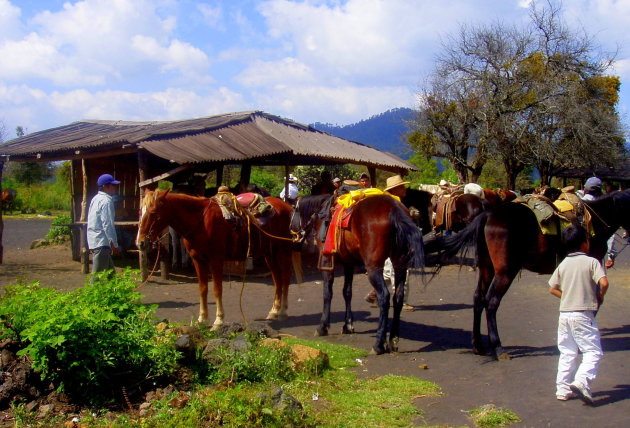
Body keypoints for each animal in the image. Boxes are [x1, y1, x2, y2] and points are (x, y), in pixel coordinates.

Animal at [137, 189, 296, 326]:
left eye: (153, 213)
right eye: (140, 212)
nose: (140, 243)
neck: (201, 221)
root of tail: (287, 207)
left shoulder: (216, 260)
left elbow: (217, 289)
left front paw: (218, 321)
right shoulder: (198, 260)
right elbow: (202, 289)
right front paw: (202, 319)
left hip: (284, 251)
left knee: (285, 277)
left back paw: (283, 312)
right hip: (270, 254)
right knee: (277, 279)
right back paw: (274, 311)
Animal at [296, 194, 424, 354]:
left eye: (295, 209)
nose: (291, 228)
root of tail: (395, 210)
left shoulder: (326, 262)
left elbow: (327, 293)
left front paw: (323, 327)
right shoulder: (348, 263)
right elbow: (347, 292)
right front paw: (348, 325)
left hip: (373, 267)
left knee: (384, 297)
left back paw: (378, 344)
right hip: (400, 265)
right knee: (398, 297)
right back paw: (393, 340)